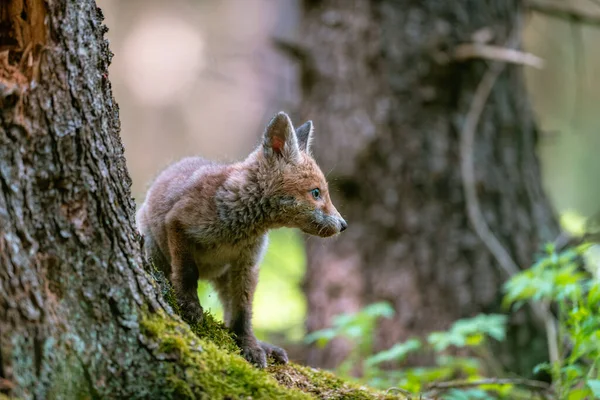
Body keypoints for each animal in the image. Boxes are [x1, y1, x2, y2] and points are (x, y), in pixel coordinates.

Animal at [137, 111, 346, 368]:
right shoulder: (177, 223)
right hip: (154, 249)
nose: (343, 225)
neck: (238, 229)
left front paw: (250, 345)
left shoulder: (246, 264)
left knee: (229, 310)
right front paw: (189, 305)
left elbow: (243, 311)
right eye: (316, 193)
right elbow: (187, 273)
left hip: (225, 276)